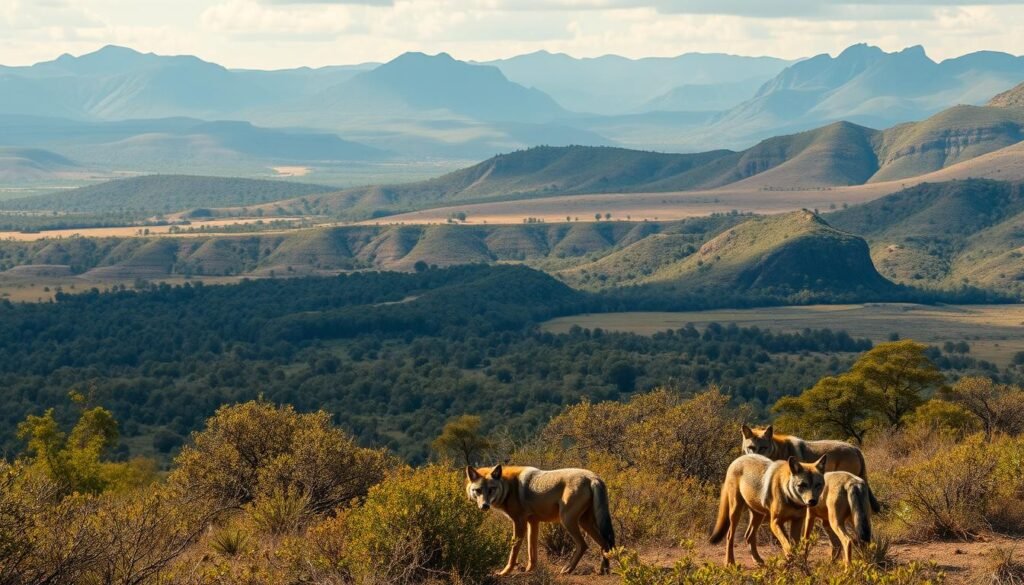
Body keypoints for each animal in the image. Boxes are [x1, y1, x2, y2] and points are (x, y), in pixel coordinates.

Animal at [465, 465, 615, 576]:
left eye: (491, 489)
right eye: (478, 490)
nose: (484, 506)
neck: (509, 487)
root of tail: (593, 477)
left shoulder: (519, 522)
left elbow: (513, 552)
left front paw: (504, 572)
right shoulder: (533, 522)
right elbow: (532, 552)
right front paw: (530, 570)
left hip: (568, 521)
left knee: (584, 545)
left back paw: (568, 570)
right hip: (585, 523)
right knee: (605, 544)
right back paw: (604, 571)